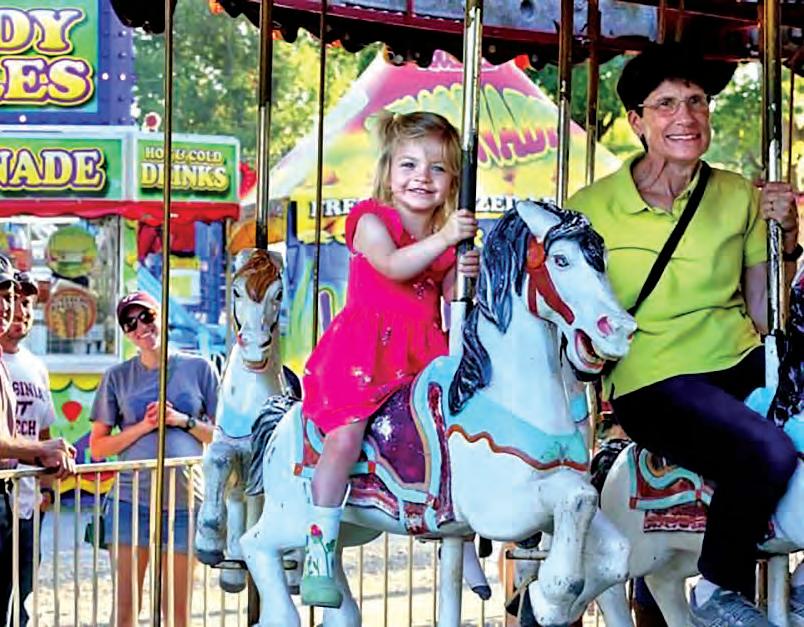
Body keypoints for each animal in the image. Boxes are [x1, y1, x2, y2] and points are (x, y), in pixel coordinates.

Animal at [195, 248, 288, 593]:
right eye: (235, 291)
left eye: (279, 293)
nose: (255, 346)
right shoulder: (226, 443)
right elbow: (218, 460)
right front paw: (208, 544)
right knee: (237, 504)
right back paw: (233, 569)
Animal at [239, 200, 638, 627]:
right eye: (561, 260)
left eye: (602, 260)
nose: (620, 329)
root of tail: (284, 419)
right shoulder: (501, 509)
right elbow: (577, 499)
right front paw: (550, 595)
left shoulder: (558, 489)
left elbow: (615, 550)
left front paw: (556, 604)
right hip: (291, 512)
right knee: (255, 544)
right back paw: (282, 612)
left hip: (352, 525)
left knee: (336, 585)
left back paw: (323, 591)